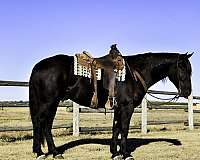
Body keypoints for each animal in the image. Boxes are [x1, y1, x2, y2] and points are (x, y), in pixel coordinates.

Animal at [29, 45, 192, 160]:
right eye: (182, 67)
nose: (187, 92)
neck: (135, 73)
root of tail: (38, 66)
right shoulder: (127, 107)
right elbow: (124, 129)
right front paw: (126, 154)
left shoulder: (118, 108)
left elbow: (116, 128)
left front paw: (114, 153)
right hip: (48, 102)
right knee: (39, 123)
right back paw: (40, 153)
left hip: (53, 103)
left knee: (46, 125)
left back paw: (54, 152)